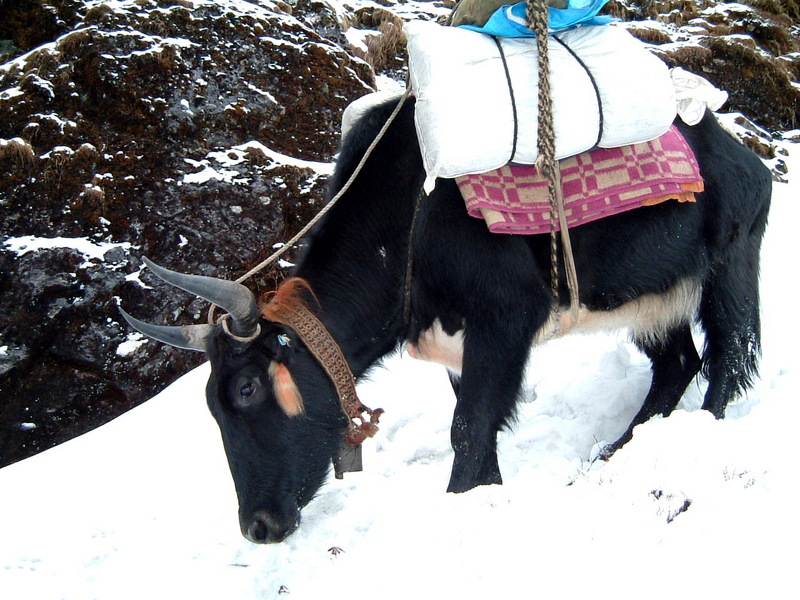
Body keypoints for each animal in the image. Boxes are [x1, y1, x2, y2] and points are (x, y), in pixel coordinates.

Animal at [121, 97, 772, 543]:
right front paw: (486, 497)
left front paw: (459, 500)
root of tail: (748, 158)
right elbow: (478, 429)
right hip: (652, 299)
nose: (258, 526)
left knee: (729, 354)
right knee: (678, 363)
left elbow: (469, 429)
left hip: (730, 263)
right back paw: (612, 453)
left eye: (247, 388)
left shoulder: (504, 322)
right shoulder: (462, 348)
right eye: (211, 406)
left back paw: (694, 433)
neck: (408, 221)